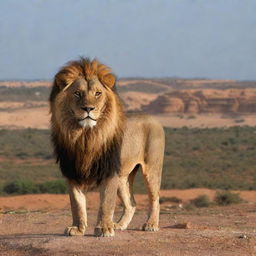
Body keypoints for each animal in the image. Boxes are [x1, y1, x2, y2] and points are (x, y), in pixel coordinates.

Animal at [49, 57, 165, 237]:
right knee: (131, 203)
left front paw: (104, 229)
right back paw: (119, 225)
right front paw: (77, 228)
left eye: (98, 93)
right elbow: (76, 204)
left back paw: (151, 224)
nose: (88, 108)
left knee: (155, 199)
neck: (86, 137)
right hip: (124, 177)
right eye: (77, 93)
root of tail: (153, 118)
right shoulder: (72, 171)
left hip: (151, 169)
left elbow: (106, 203)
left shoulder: (109, 171)